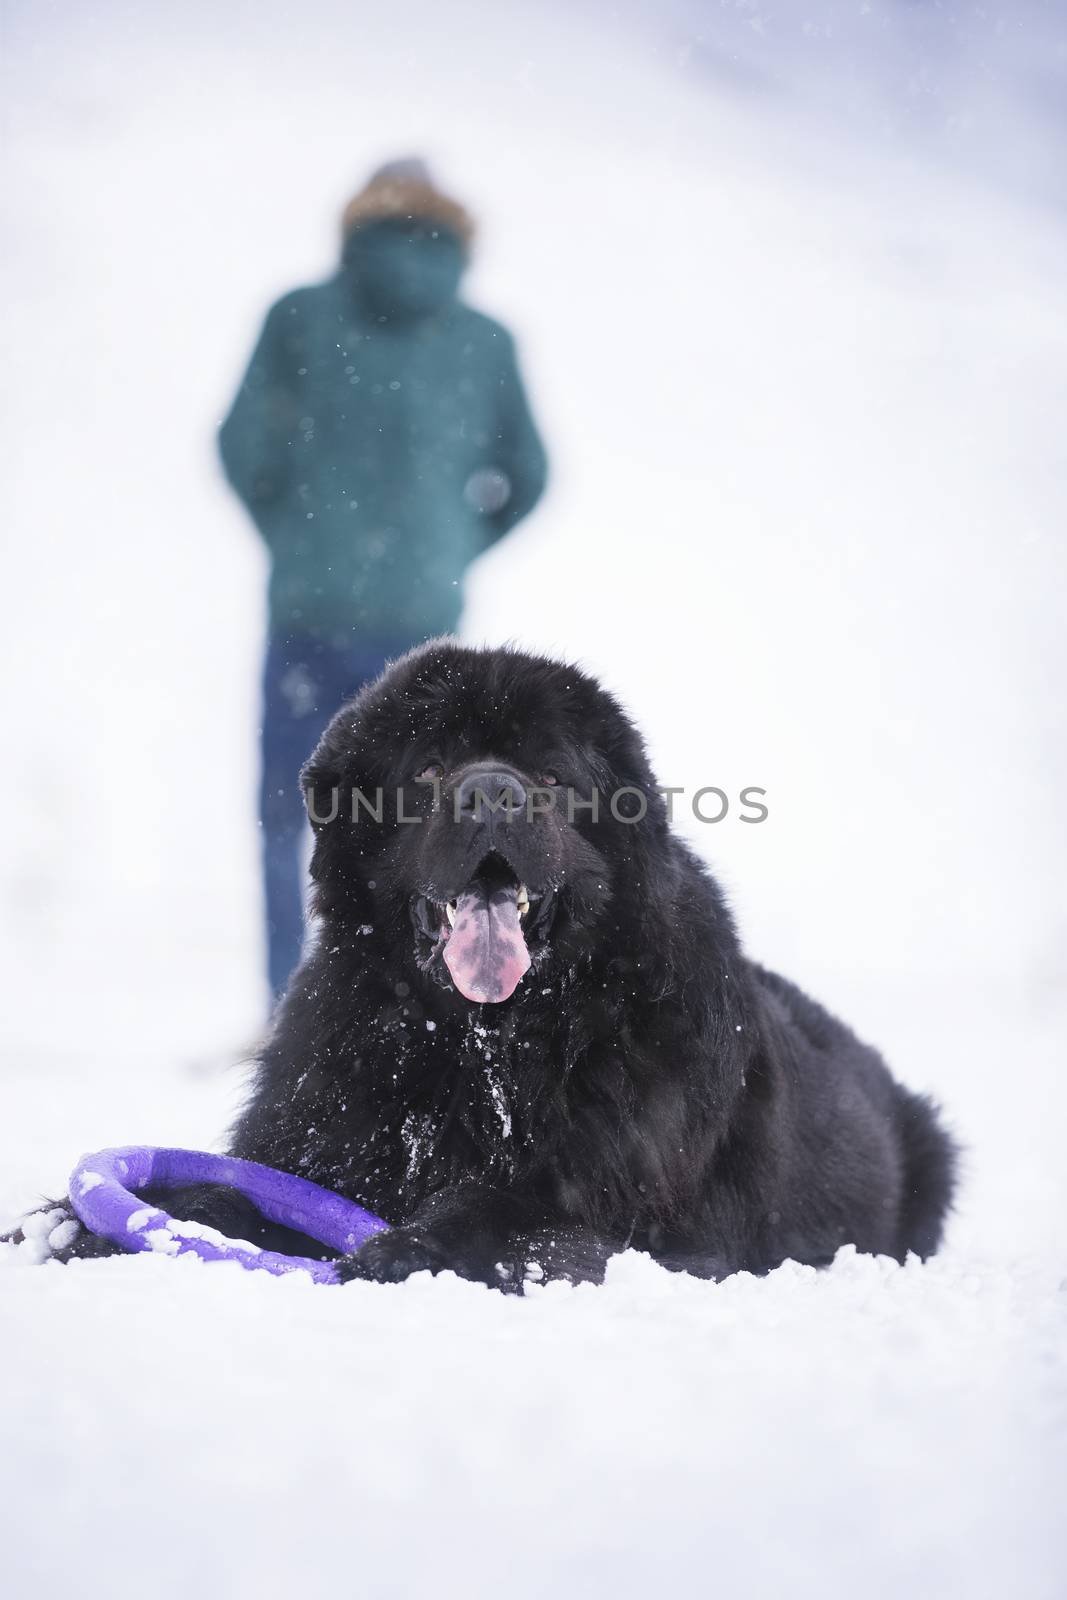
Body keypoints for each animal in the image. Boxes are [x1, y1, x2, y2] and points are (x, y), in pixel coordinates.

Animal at [12, 636, 953, 1286]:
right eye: (429, 768)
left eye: (551, 775)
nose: (492, 792)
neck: (481, 1050)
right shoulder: (318, 1141)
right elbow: (235, 1194)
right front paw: (78, 1225)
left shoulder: (641, 1212)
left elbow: (510, 1211)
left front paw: (413, 1244)